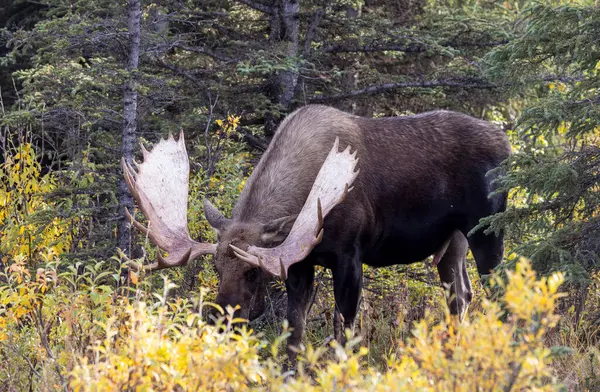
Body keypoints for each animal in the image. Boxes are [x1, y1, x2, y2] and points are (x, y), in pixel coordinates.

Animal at [122, 103, 510, 362]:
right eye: (216, 266)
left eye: (253, 271)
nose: (221, 317)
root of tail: (507, 142)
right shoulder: (299, 262)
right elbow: (294, 330)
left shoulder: (349, 255)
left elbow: (346, 329)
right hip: (453, 239)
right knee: (461, 295)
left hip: (488, 228)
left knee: (500, 291)